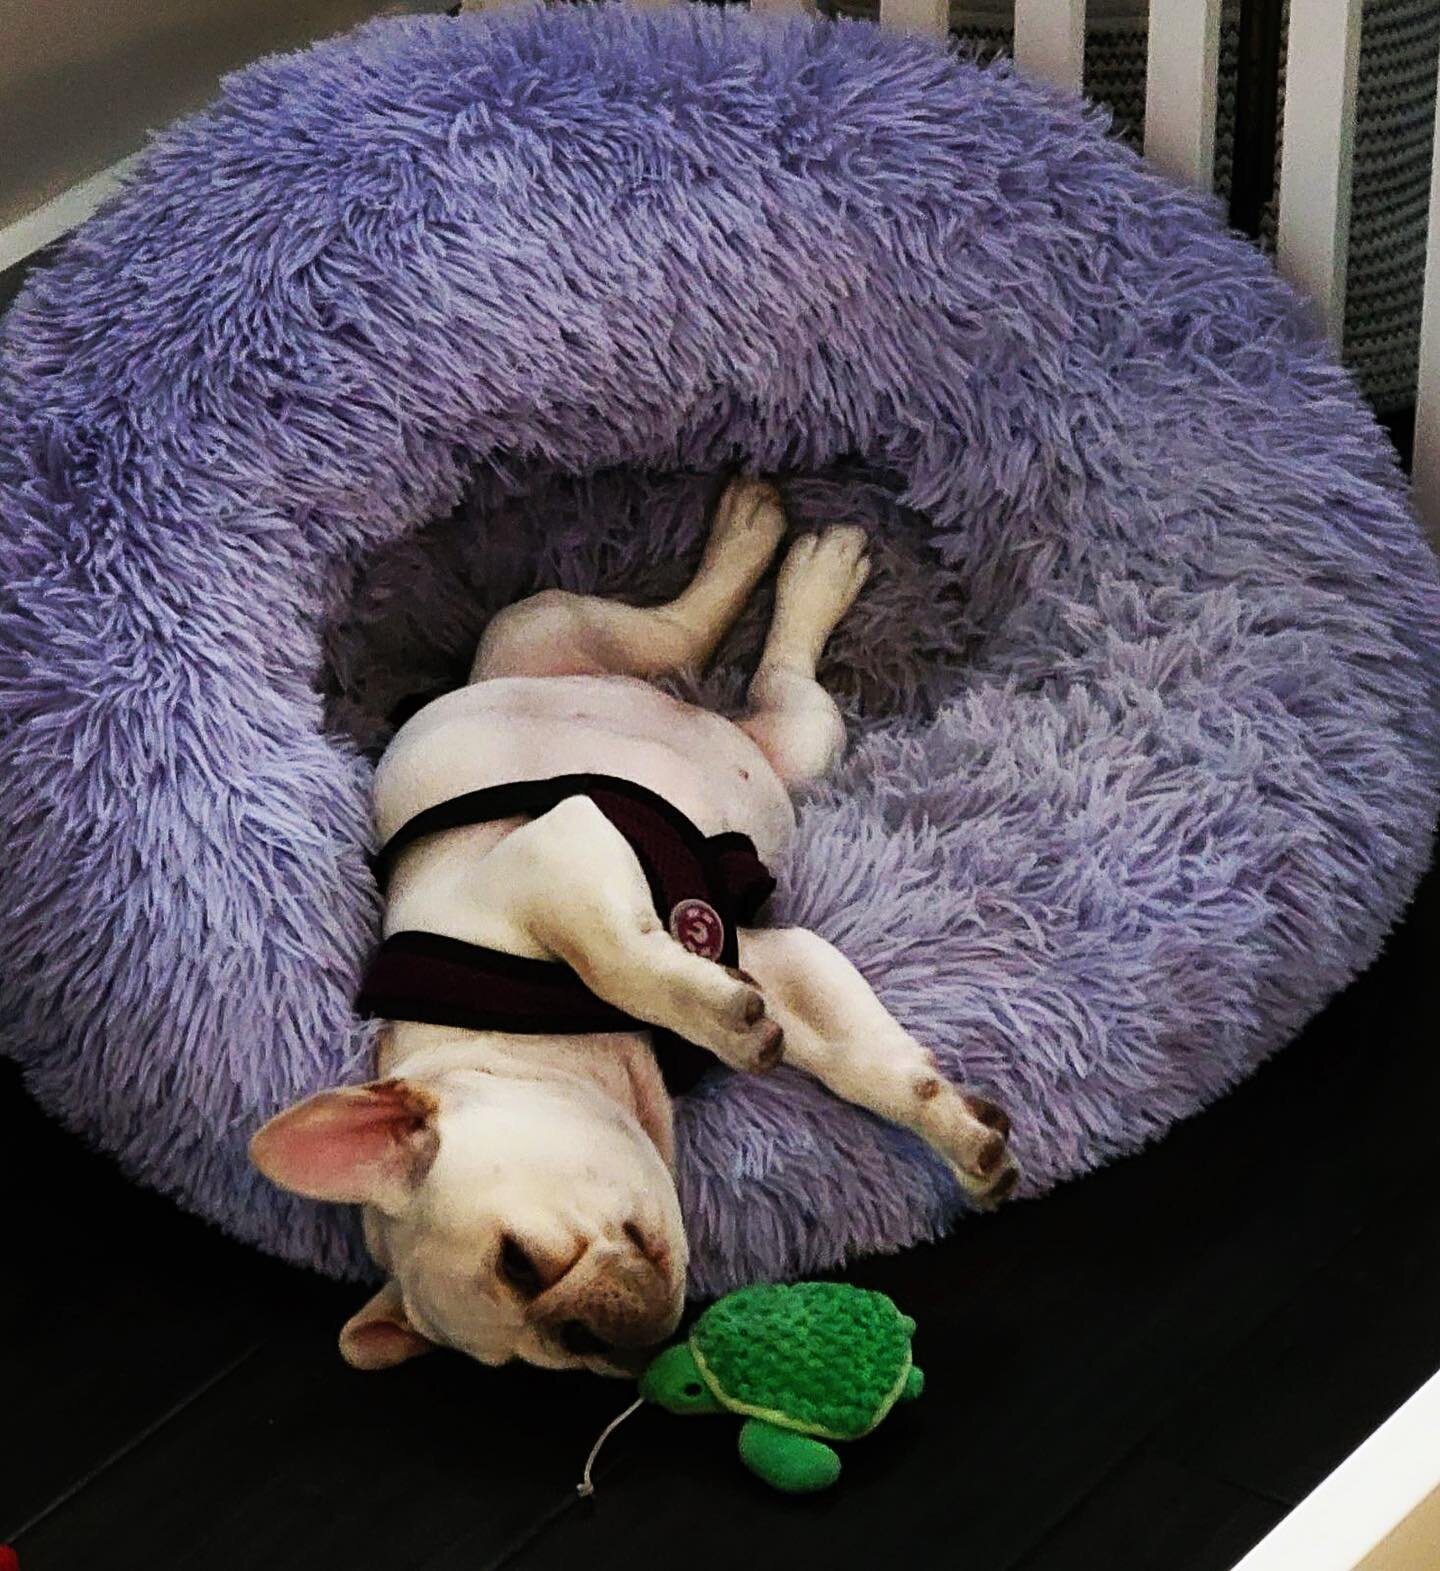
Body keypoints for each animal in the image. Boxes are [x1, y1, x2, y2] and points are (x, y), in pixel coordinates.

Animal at [252, 477, 1017, 1376]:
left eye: (519, 1261)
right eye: (547, 1361)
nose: (611, 1342)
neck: (510, 1037)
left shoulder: (556, 845)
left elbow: (609, 953)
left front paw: (719, 1016)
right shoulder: (767, 957)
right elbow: (861, 1058)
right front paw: (955, 1129)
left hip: (545, 623)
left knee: (689, 630)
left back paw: (781, 549)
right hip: (793, 744)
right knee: (781, 691)